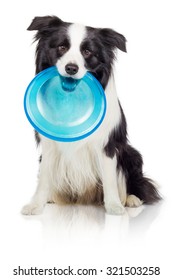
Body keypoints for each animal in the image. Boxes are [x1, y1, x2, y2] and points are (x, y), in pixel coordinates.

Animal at [21, 16, 161, 215]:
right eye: (61, 47)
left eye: (87, 52)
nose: (71, 68)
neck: (72, 97)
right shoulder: (48, 145)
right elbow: (45, 176)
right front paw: (36, 204)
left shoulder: (107, 144)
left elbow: (110, 178)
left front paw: (114, 206)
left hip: (132, 154)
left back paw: (131, 199)